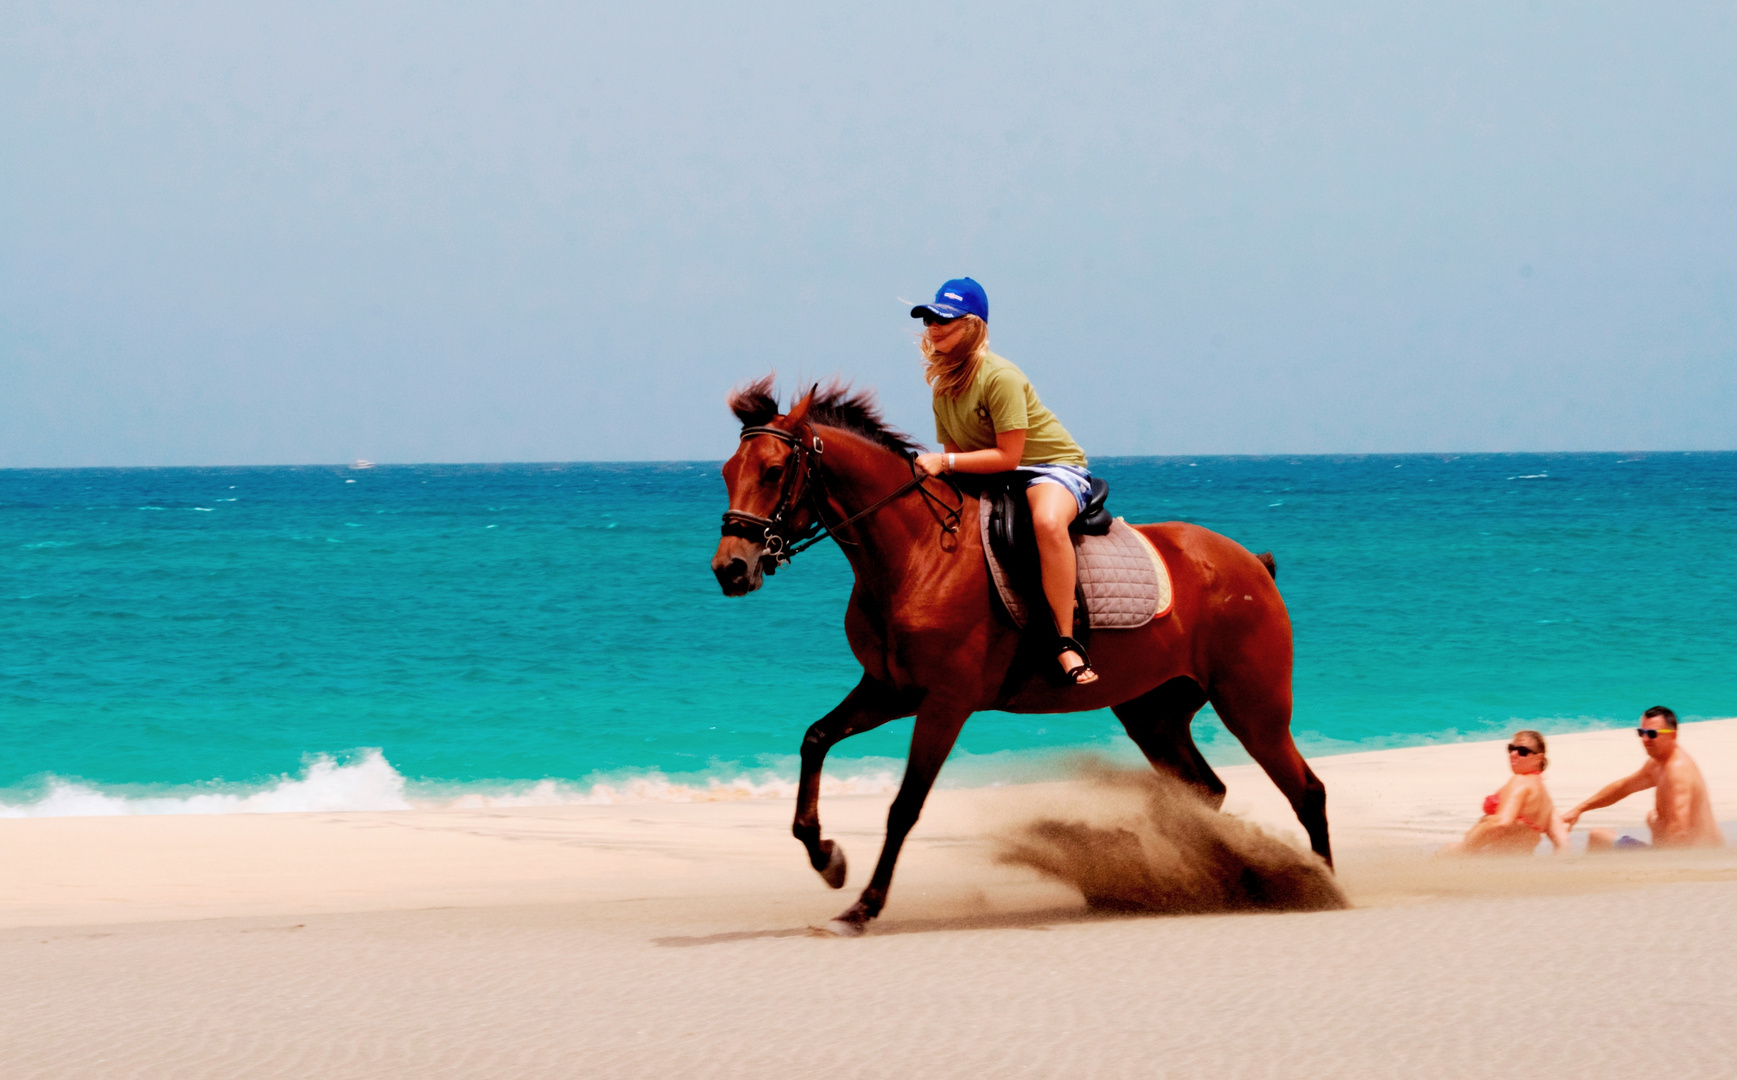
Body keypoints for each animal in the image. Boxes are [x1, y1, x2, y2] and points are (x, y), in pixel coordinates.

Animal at [705, 380, 1327, 937]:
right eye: (728, 471)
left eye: (773, 471)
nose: (730, 569)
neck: (918, 553)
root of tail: (1250, 563)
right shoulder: (890, 690)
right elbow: (814, 739)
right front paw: (826, 857)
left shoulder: (945, 703)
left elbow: (904, 805)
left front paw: (861, 907)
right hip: (1154, 716)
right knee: (1207, 792)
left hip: (1253, 709)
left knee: (1306, 791)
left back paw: (1320, 887)